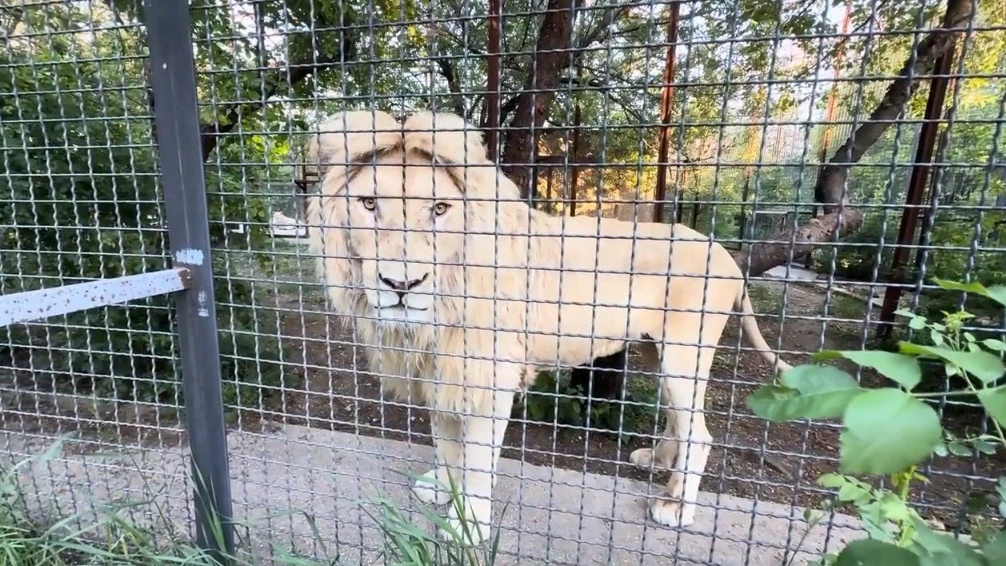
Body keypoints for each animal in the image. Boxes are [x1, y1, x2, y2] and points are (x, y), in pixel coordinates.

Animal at [303, 110, 791, 543]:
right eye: (369, 204)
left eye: (440, 209)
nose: (401, 284)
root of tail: (723, 251)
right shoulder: (442, 370)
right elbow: (446, 442)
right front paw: (443, 487)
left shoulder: (489, 377)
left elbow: (475, 461)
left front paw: (469, 526)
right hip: (657, 351)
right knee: (677, 418)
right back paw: (657, 462)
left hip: (685, 352)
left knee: (701, 435)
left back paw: (676, 505)